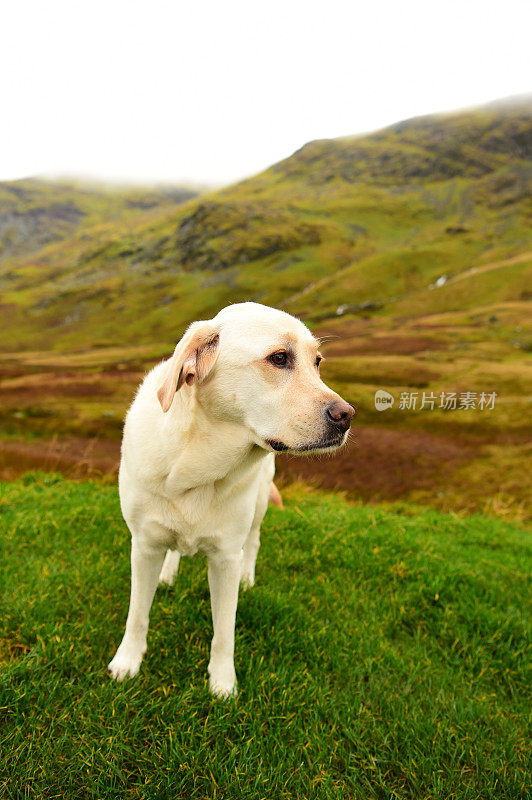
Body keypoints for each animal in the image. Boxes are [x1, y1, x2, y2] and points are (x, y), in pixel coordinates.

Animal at [109, 300, 354, 692]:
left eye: (317, 362)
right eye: (279, 358)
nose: (347, 416)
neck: (197, 462)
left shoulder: (225, 558)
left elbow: (224, 630)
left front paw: (223, 683)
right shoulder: (143, 546)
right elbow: (137, 614)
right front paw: (127, 661)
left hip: (258, 505)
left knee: (253, 542)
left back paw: (248, 578)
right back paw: (168, 573)